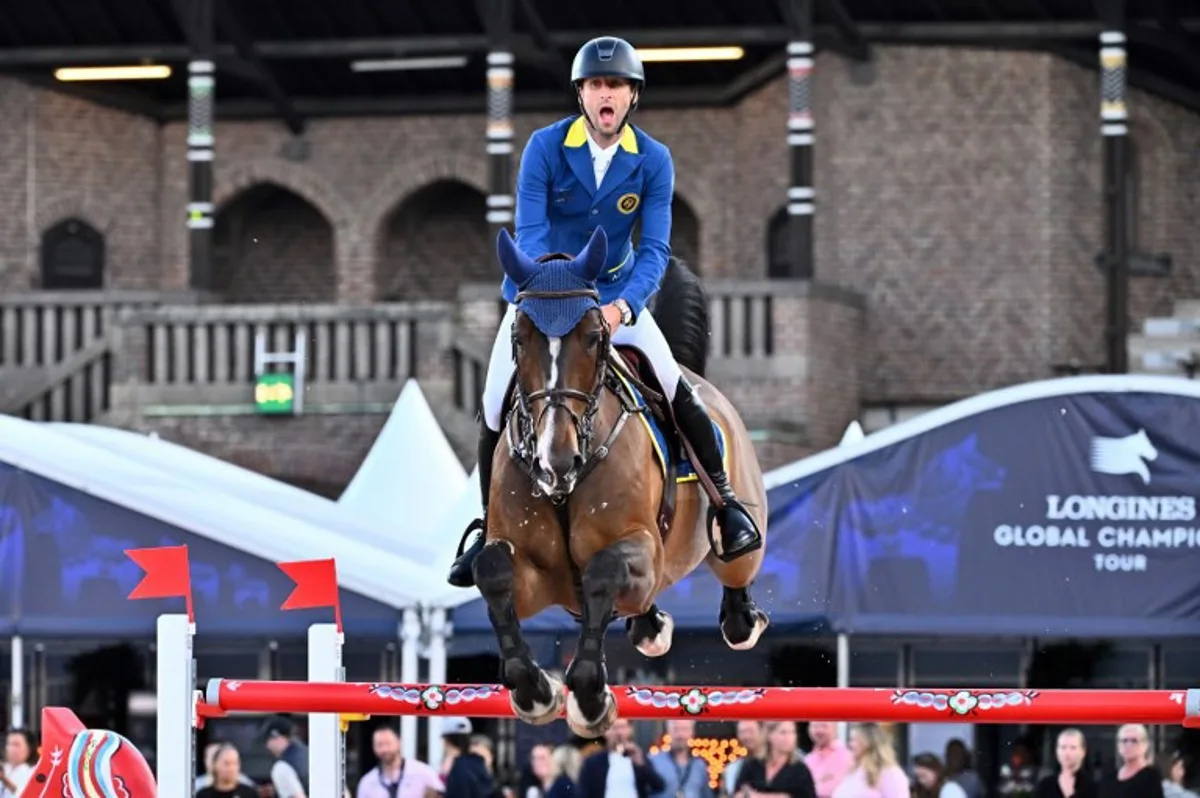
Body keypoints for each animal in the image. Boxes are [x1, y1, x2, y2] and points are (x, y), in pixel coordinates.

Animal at [470, 224, 768, 734]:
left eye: (593, 337)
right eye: (519, 339)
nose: (555, 461)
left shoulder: (640, 548)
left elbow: (603, 570)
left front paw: (589, 698)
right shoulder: (534, 577)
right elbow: (492, 571)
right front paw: (536, 693)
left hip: (734, 536)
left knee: (736, 581)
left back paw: (741, 613)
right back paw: (651, 627)